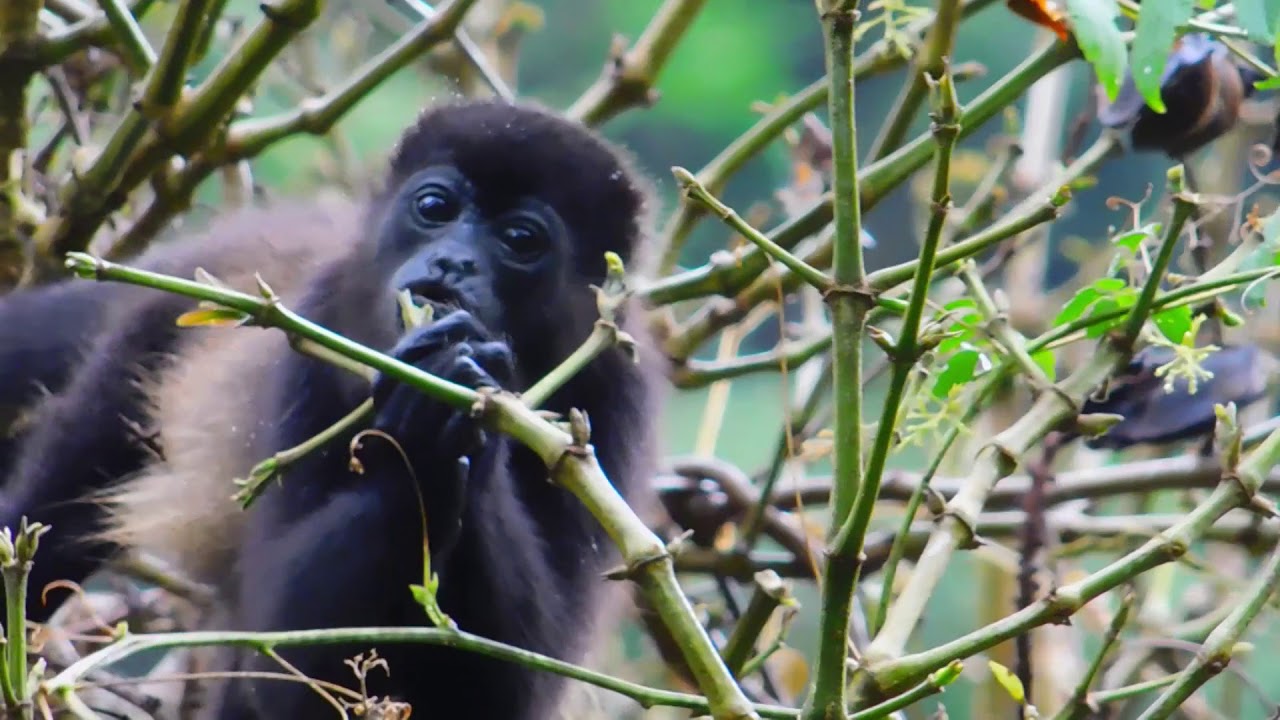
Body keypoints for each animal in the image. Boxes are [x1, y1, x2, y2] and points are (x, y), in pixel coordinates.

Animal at [0, 99, 664, 720]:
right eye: (434, 207)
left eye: (522, 240)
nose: (454, 261)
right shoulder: (313, 332)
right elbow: (283, 640)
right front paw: (425, 423)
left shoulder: (615, 404)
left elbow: (510, 688)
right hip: (142, 341)